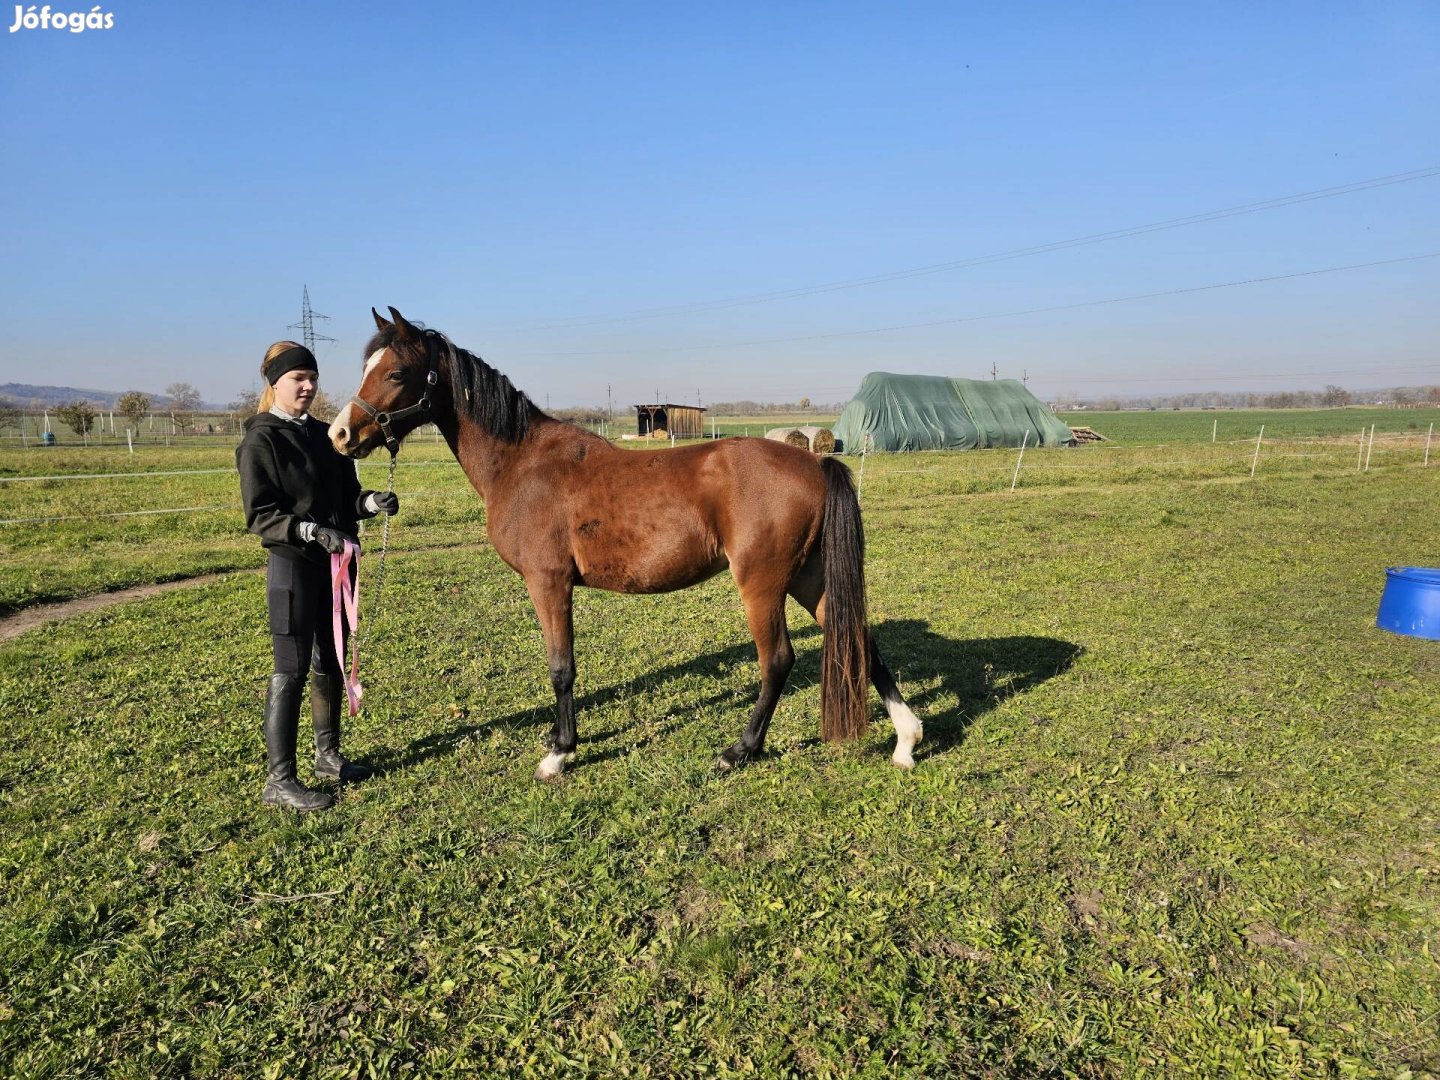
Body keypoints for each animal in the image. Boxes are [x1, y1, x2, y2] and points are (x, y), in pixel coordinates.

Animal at [329, 308, 921, 783]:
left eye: (396, 372)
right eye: (366, 367)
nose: (340, 434)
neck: (522, 462)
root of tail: (814, 461)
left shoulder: (549, 583)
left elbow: (561, 668)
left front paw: (559, 754)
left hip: (763, 583)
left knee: (777, 660)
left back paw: (739, 751)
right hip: (807, 577)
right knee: (857, 637)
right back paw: (907, 740)